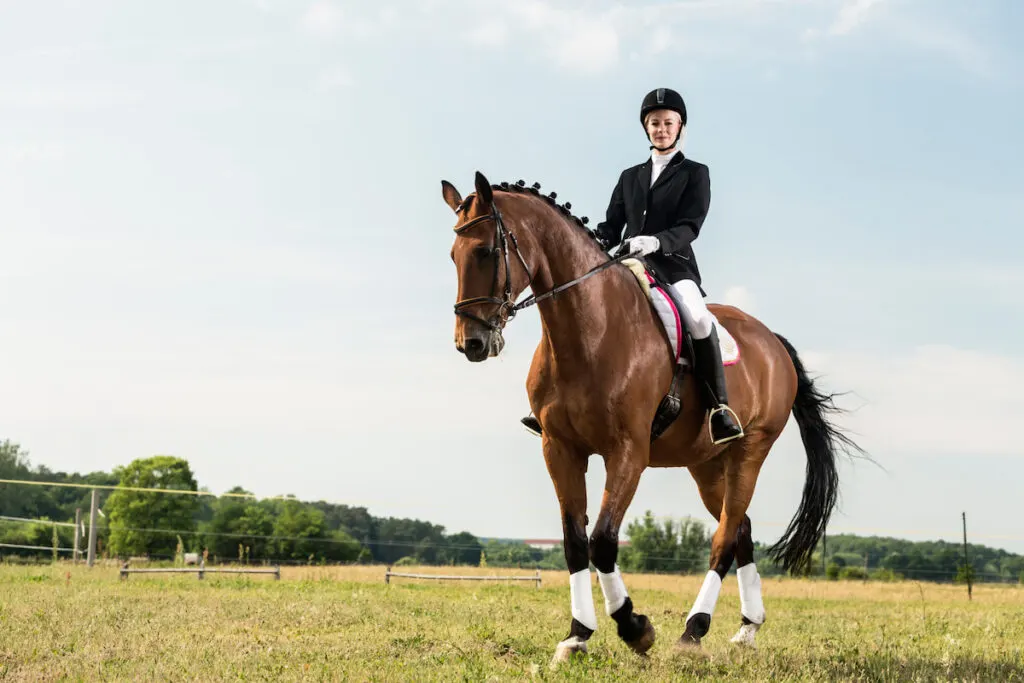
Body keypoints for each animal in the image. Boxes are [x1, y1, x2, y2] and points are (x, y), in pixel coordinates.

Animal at [442, 172, 864, 667]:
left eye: (487, 251)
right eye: (453, 256)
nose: (470, 343)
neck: (589, 330)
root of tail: (771, 341)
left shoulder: (628, 452)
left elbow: (603, 540)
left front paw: (634, 628)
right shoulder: (560, 449)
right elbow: (575, 541)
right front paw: (577, 636)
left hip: (749, 450)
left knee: (724, 538)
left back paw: (693, 629)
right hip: (706, 465)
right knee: (740, 528)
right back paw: (746, 629)